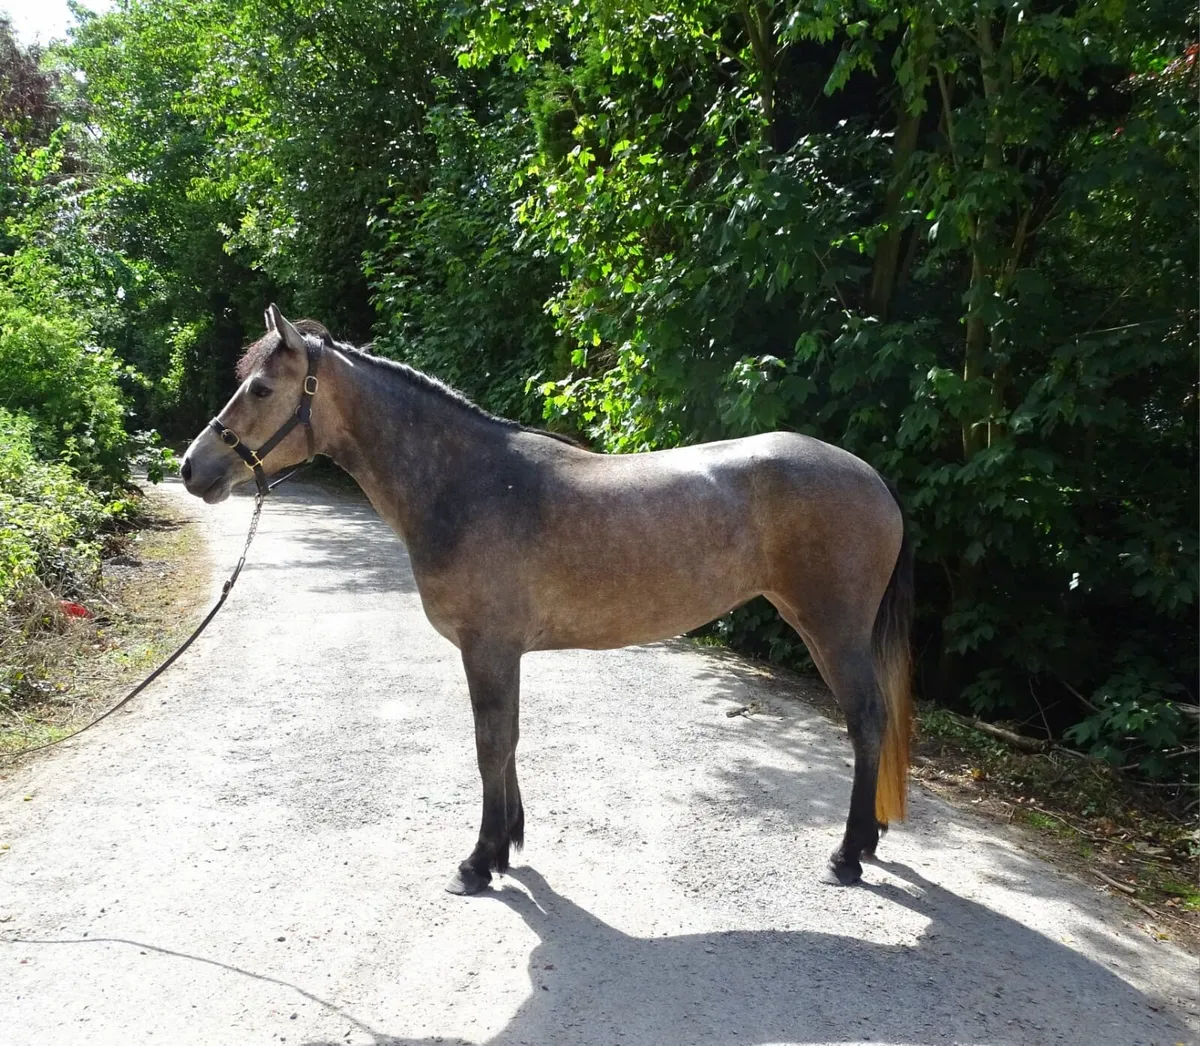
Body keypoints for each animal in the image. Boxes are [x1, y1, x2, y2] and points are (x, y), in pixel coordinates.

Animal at [180, 305, 914, 894]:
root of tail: (875, 478)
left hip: (831, 628)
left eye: (261, 388)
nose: (192, 468)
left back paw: (847, 855)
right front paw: (507, 845)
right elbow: (507, 741)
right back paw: (866, 841)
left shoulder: (487, 649)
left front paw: (478, 862)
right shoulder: (502, 653)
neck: (468, 484)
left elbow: (490, 744)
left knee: (867, 719)